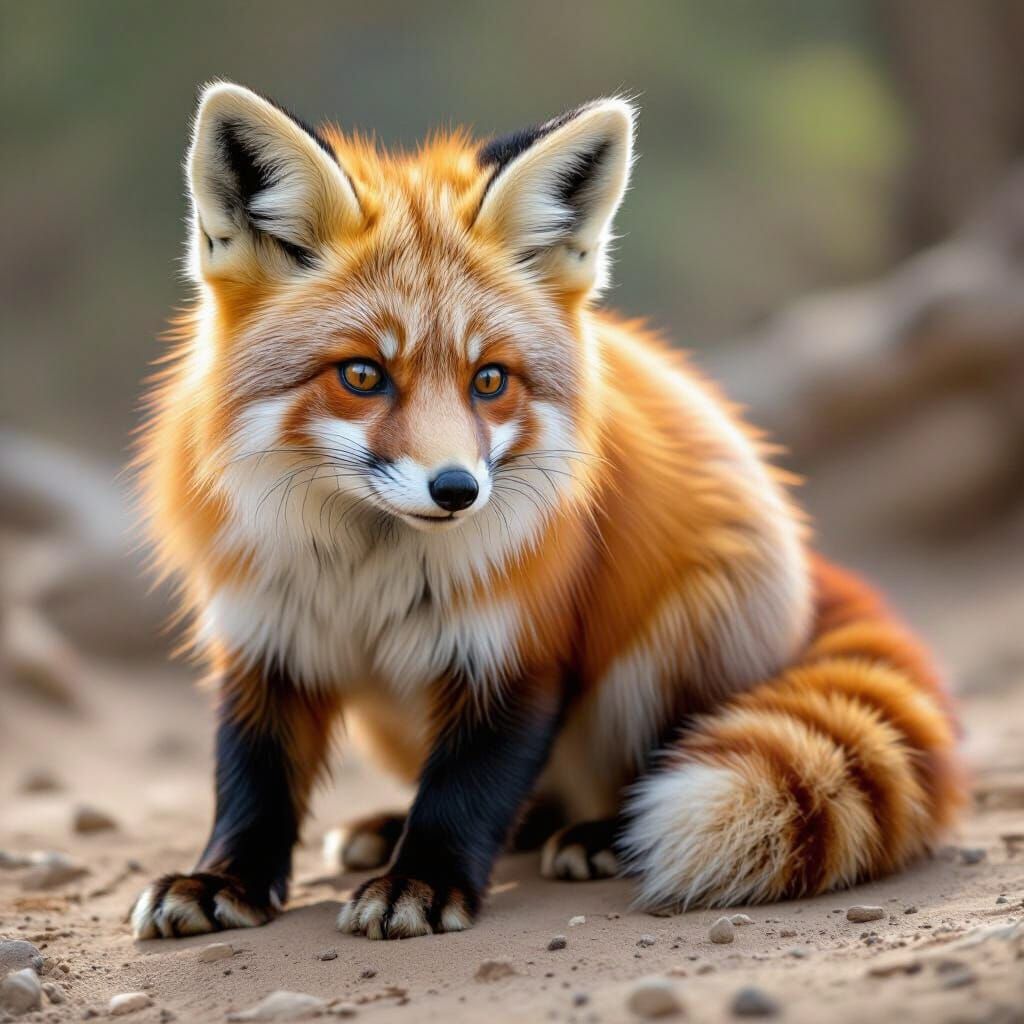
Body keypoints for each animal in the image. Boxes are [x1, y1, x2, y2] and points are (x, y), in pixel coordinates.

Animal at [130, 82, 965, 941]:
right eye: (362, 375)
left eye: (490, 380)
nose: (457, 490)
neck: (365, 570)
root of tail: (811, 571)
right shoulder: (265, 633)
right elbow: (251, 780)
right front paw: (223, 879)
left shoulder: (518, 644)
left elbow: (469, 787)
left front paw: (423, 882)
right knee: (527, 803)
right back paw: (401, 826)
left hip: (661, 659)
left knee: (616, 777)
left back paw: (600, 834)